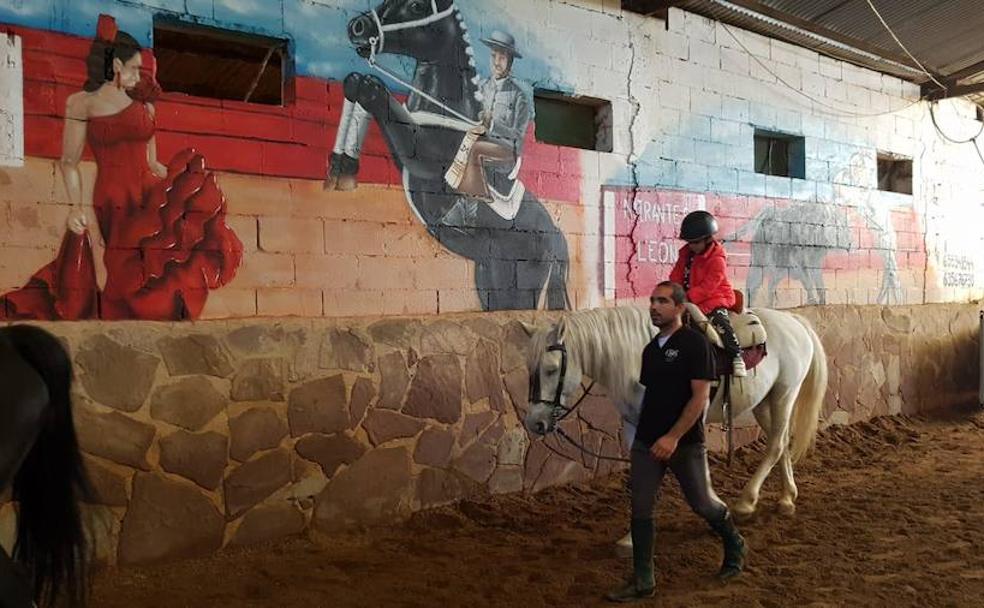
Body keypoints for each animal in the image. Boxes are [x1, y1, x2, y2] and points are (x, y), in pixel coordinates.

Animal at [334, 0, 572, 312]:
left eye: (416, 5)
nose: (357, 27)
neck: (447, 115)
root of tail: (555, 233)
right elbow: (360, 88)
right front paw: (341, 164)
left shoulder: (423, 153)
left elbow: (378, 96)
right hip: (490, 273)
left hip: (521, 278)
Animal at [528, 306, 828, 524]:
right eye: (529, 368)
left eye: (552, 369)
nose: (535, 422)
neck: (641, 359)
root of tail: (793, 319)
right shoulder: (635, 424)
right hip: (763, 403)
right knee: (782, 442)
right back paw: (786, 499)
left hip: (784, 395)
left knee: (776, 444)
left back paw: (746, 503)